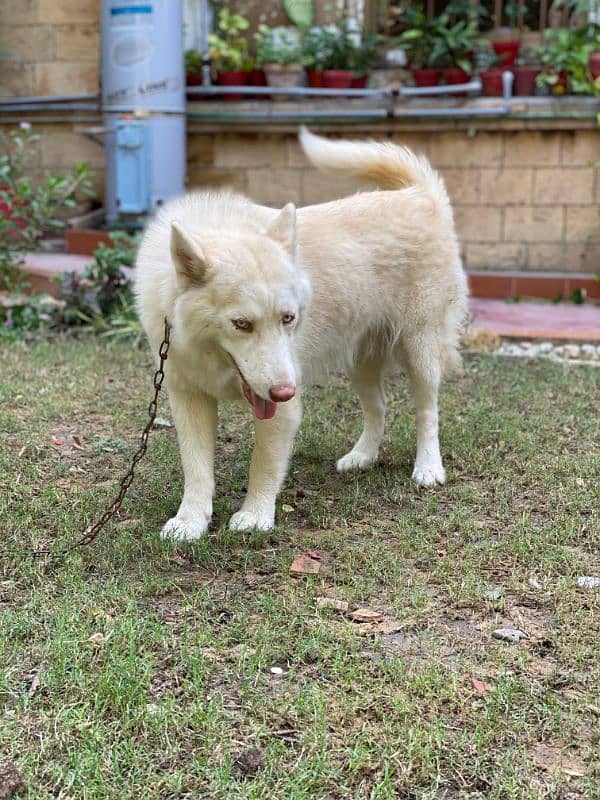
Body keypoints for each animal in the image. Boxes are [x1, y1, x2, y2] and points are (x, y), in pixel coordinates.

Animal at [136, 128, 468, 540]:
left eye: (288, 318)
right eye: (240, 324)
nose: (285, 390)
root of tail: (419, 194)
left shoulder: (281, 410)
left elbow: (262, 464)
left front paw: (255, 516)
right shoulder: (189, 398)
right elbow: (197, 469)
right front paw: (190, 521)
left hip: (420, 348)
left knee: (427, 411)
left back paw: (428, 467)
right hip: (361, 359)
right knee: (378, 408)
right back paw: (362, 456)